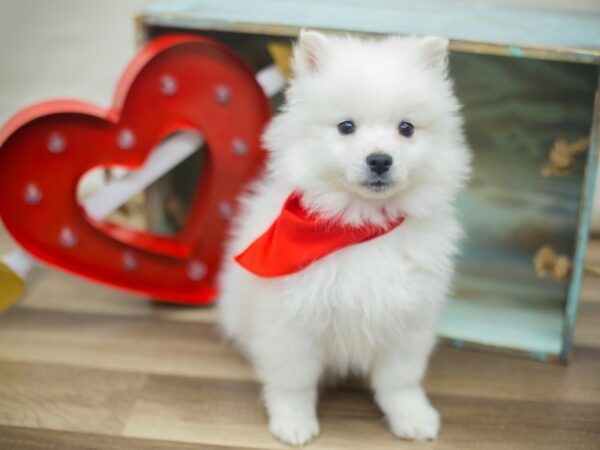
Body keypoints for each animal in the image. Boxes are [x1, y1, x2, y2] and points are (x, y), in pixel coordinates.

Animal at [218, 29, 472, 444]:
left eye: (406, 128)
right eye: (346, 127)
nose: (380, 160)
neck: (360, 227)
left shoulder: (408, 318)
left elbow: (401, 381)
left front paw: (413, 417)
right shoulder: (291, 322)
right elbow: (294, 382)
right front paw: (293, 422)